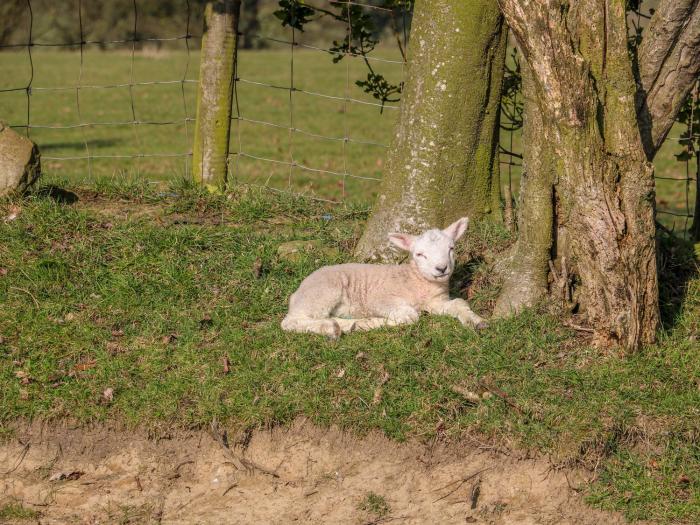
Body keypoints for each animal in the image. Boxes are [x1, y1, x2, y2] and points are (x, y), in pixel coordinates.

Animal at [278, 216, 486, 336]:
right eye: (420, 254)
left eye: (451, 248)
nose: (441, 268)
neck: (415, 280)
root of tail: (297, 292)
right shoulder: (381, 299)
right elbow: (410, 316)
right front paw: (379, 321)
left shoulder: (435, 302)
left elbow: (459, 303)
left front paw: (477, 322)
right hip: (323, 293)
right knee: (290, 321)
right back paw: (332, 328)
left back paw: (347, 325)